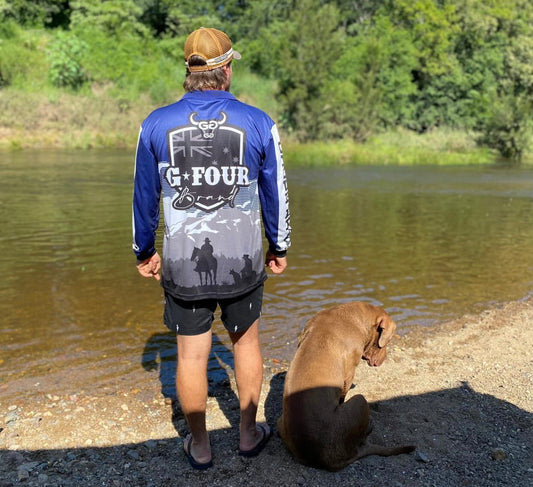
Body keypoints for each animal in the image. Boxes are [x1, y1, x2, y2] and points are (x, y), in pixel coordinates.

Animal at [276, 304, 414, 470]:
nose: (384, 358)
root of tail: (325, 460)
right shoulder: (348, 376)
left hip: (280, 421)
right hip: (360, 401)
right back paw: (369, 427)